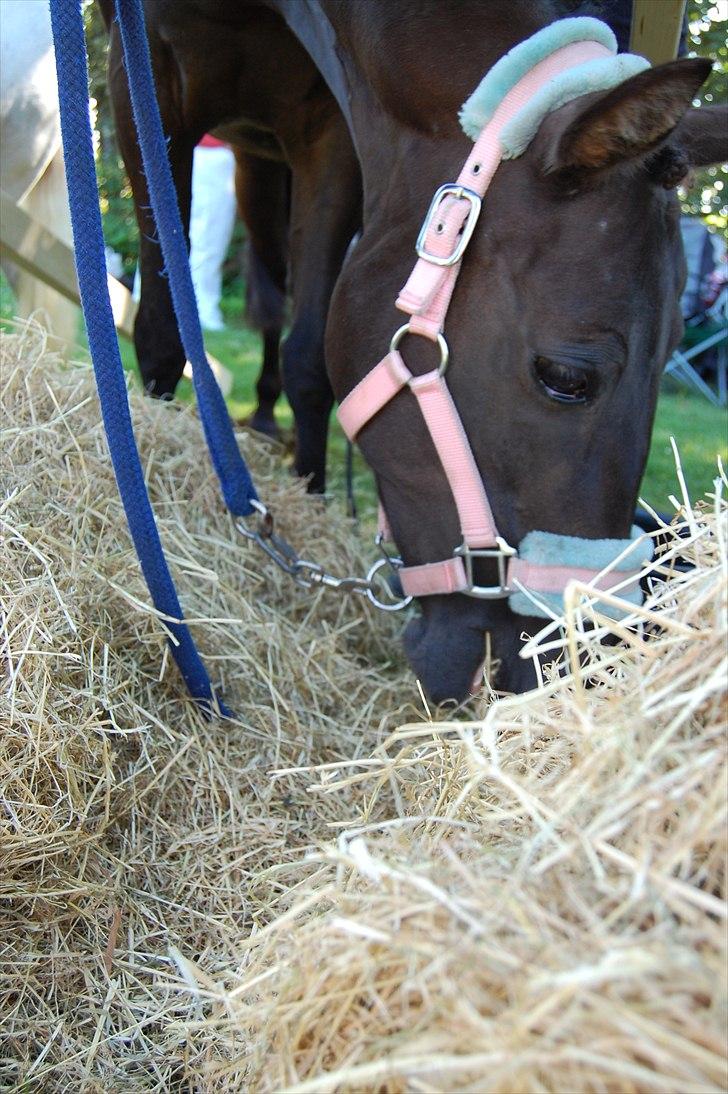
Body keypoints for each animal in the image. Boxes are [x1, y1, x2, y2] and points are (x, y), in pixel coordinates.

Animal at [105, 0, 722, 700]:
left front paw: (312, 497)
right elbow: (159, 332)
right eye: (566, 377)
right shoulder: (147, 71)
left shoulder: (330, 134)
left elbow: (309, 360)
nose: (549, 663)